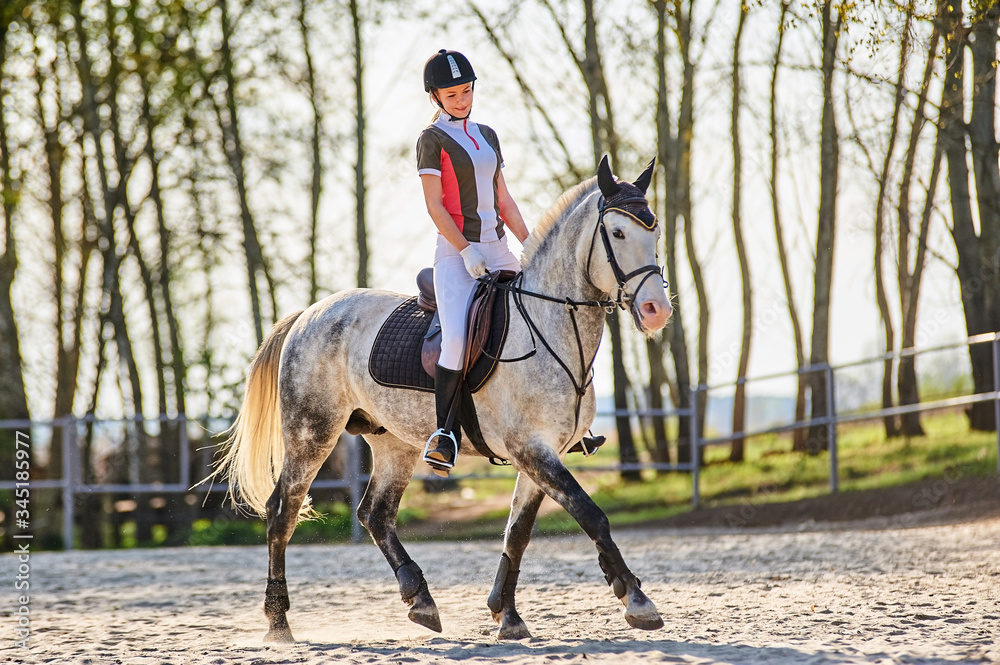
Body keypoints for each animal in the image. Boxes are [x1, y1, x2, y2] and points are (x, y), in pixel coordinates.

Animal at [215, 158, 676, 640]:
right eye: (618, 233)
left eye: (655, 232)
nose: (656, 311)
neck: (549, 326)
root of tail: (309, 312)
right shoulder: (531, 450)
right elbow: (590, 514)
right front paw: (636, 599)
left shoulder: (541, 455)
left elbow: (517, 533)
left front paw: (507, 616)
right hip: (312, 433)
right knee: (282, 511)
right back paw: (279, 623)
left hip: (394, 441)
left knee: (375, 514)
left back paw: (420, 599)